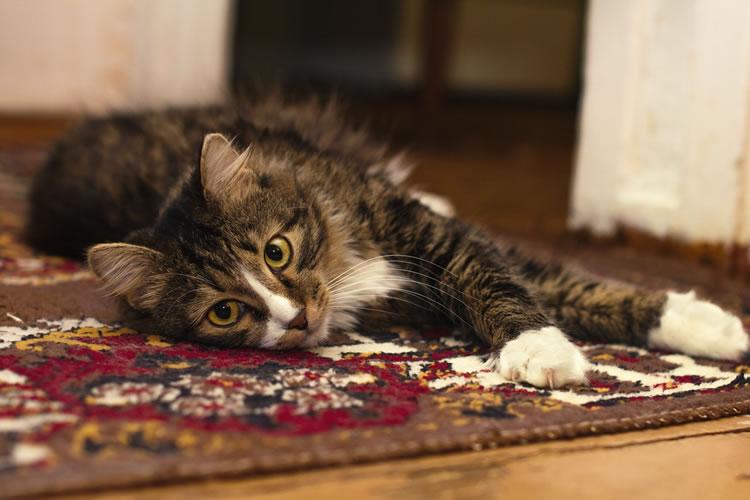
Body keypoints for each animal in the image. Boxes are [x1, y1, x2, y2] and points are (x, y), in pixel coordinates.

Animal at [26, 95, 748, 388]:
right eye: (225, 312)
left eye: (276, 251)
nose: (296, 319)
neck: (343, 261)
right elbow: (553, 288)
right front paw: (545, 351)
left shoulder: (441, 242)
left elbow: (544, 282)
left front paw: (711, 326)